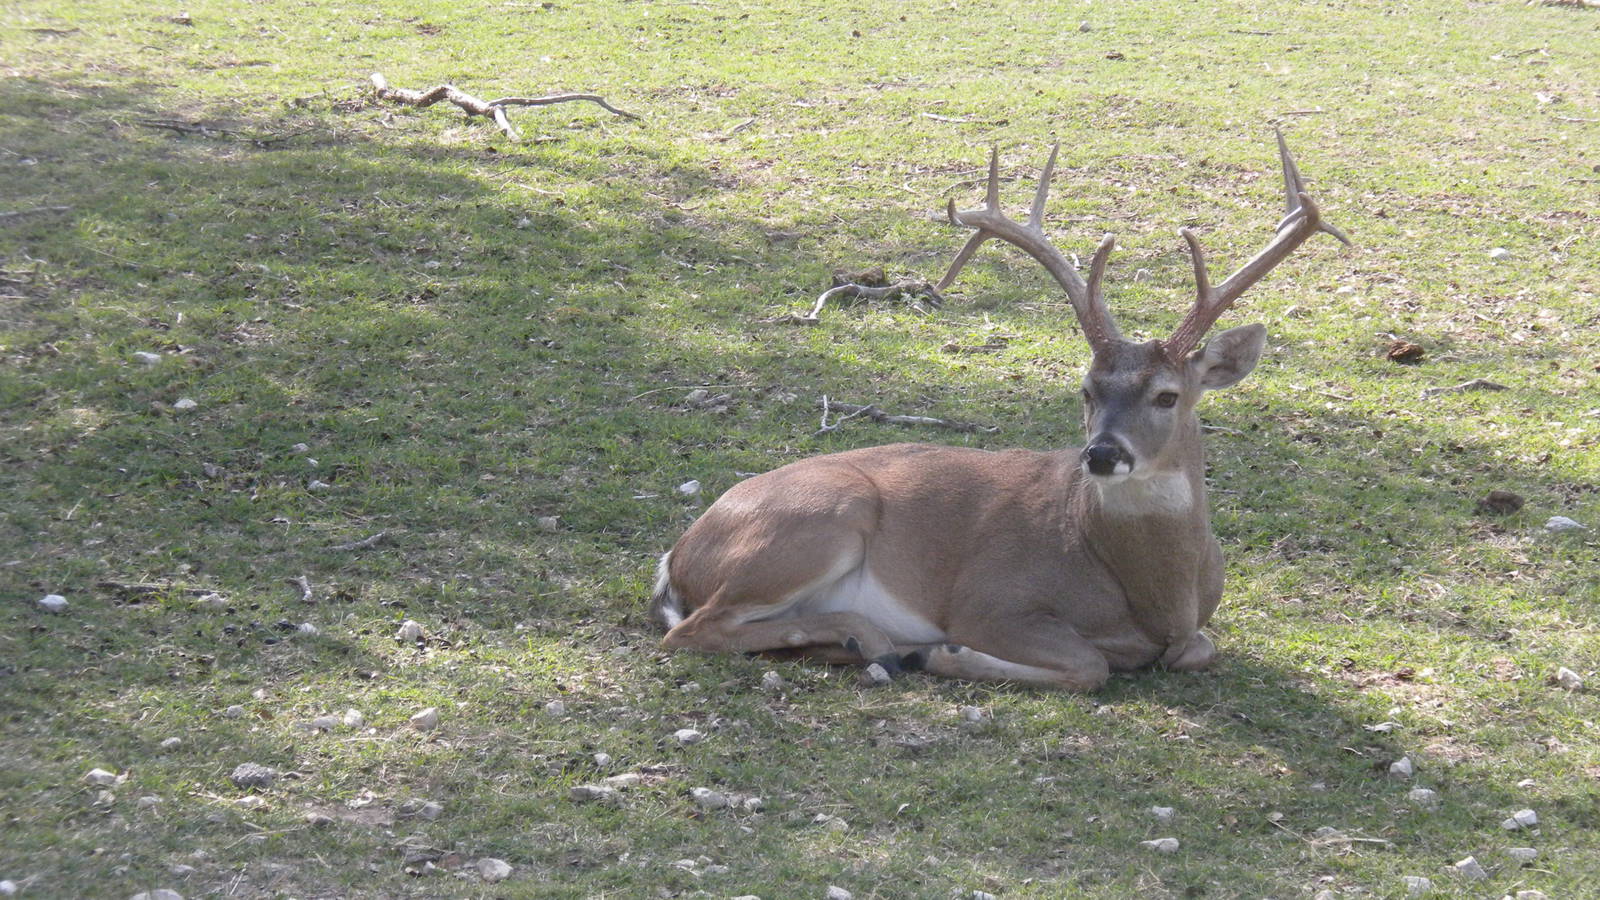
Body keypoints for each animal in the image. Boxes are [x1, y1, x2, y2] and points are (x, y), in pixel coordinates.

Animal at [649, 130, 1348, 690]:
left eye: (1167, 395)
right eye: (1086, 389)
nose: (1101, 454)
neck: (1154, 596)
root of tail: (678, 556)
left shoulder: (1191, 627)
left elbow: (1197, 650)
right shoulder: (991, 601)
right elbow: (1089, 666)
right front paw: (945, 654)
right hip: (820, 519)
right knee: (694, 631)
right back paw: (877, 642)